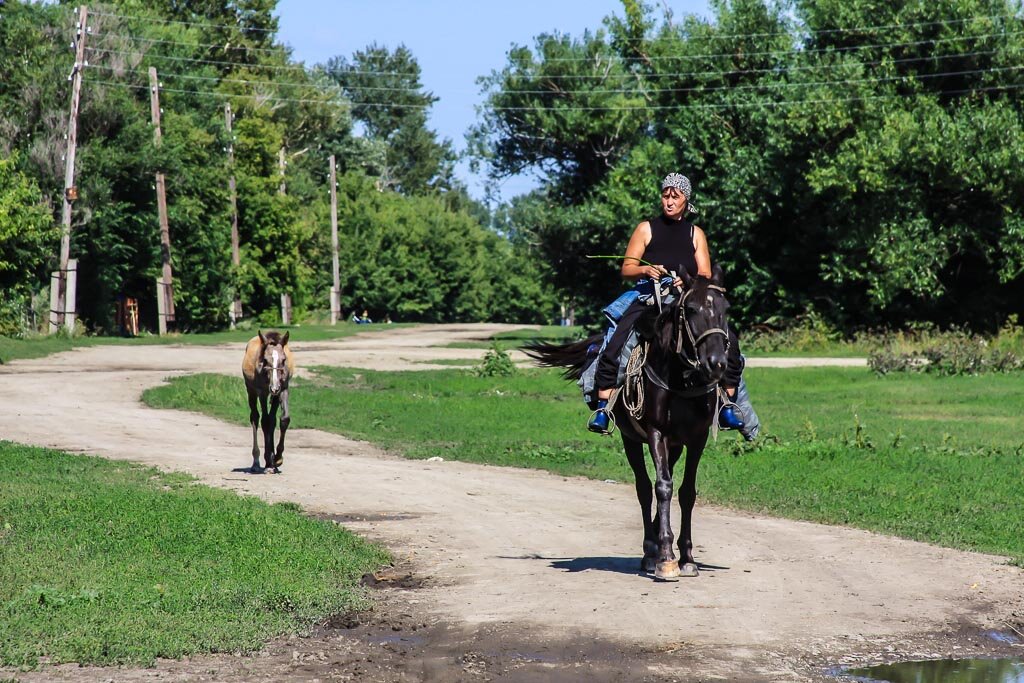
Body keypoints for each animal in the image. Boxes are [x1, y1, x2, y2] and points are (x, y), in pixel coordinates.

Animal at [237, 331, 290, 473]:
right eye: (265, 360)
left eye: (284, 360)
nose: (274, 388)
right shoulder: (262, 393)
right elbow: (265, 422)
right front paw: (270, 459)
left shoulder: (283, 389)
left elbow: (283, 419)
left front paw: (277, 459)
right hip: (251, 391)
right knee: (255, 417)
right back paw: (257, 462)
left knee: (271, 420)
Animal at [528, 266, 729, 577]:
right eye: (692, 309)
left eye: (725, 309)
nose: (716, 363)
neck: (680, 378)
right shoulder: (656, 432)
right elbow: (662, 487)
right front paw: (666, 557)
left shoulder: (697, 438)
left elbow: (686, 492)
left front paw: (686, 557)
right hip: (631, 439)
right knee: (645, 488)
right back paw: (650, 551)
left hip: (674, 446)